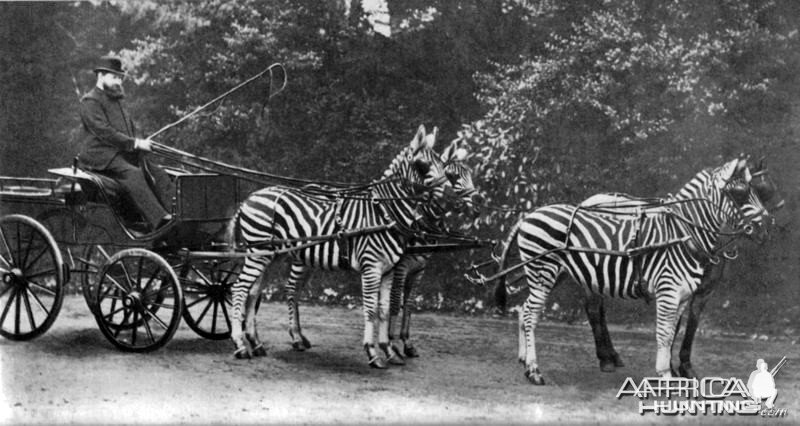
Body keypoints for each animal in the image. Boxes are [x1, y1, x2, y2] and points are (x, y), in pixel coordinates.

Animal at [228, 125, 456, 368]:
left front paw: (389, 351)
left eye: (443, 164)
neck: (384, 213)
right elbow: (370, 310)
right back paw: (240, 345)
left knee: (254, 292)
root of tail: (250, 198)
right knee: (240, 289)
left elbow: (384, 310)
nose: (450, 197)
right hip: (258, 253)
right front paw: (373, 352)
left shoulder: (389, 270)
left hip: (271, 255)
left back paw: (256, 343)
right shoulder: (371, 268)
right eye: (422, 165)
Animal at [494, 158, 768, 384]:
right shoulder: (669, 292)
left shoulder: (685, 295)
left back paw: (525, 360)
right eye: (740, 194)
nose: (766, 227)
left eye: (762, 192)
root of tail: (529, 214)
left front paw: (674, 371)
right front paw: (666, 375)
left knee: (524, 310)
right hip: (543, 272)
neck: (684, 233)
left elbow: (674, 333)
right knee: (533, 314)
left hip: (559, 273)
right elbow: (665, 334)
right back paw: (534, 370)